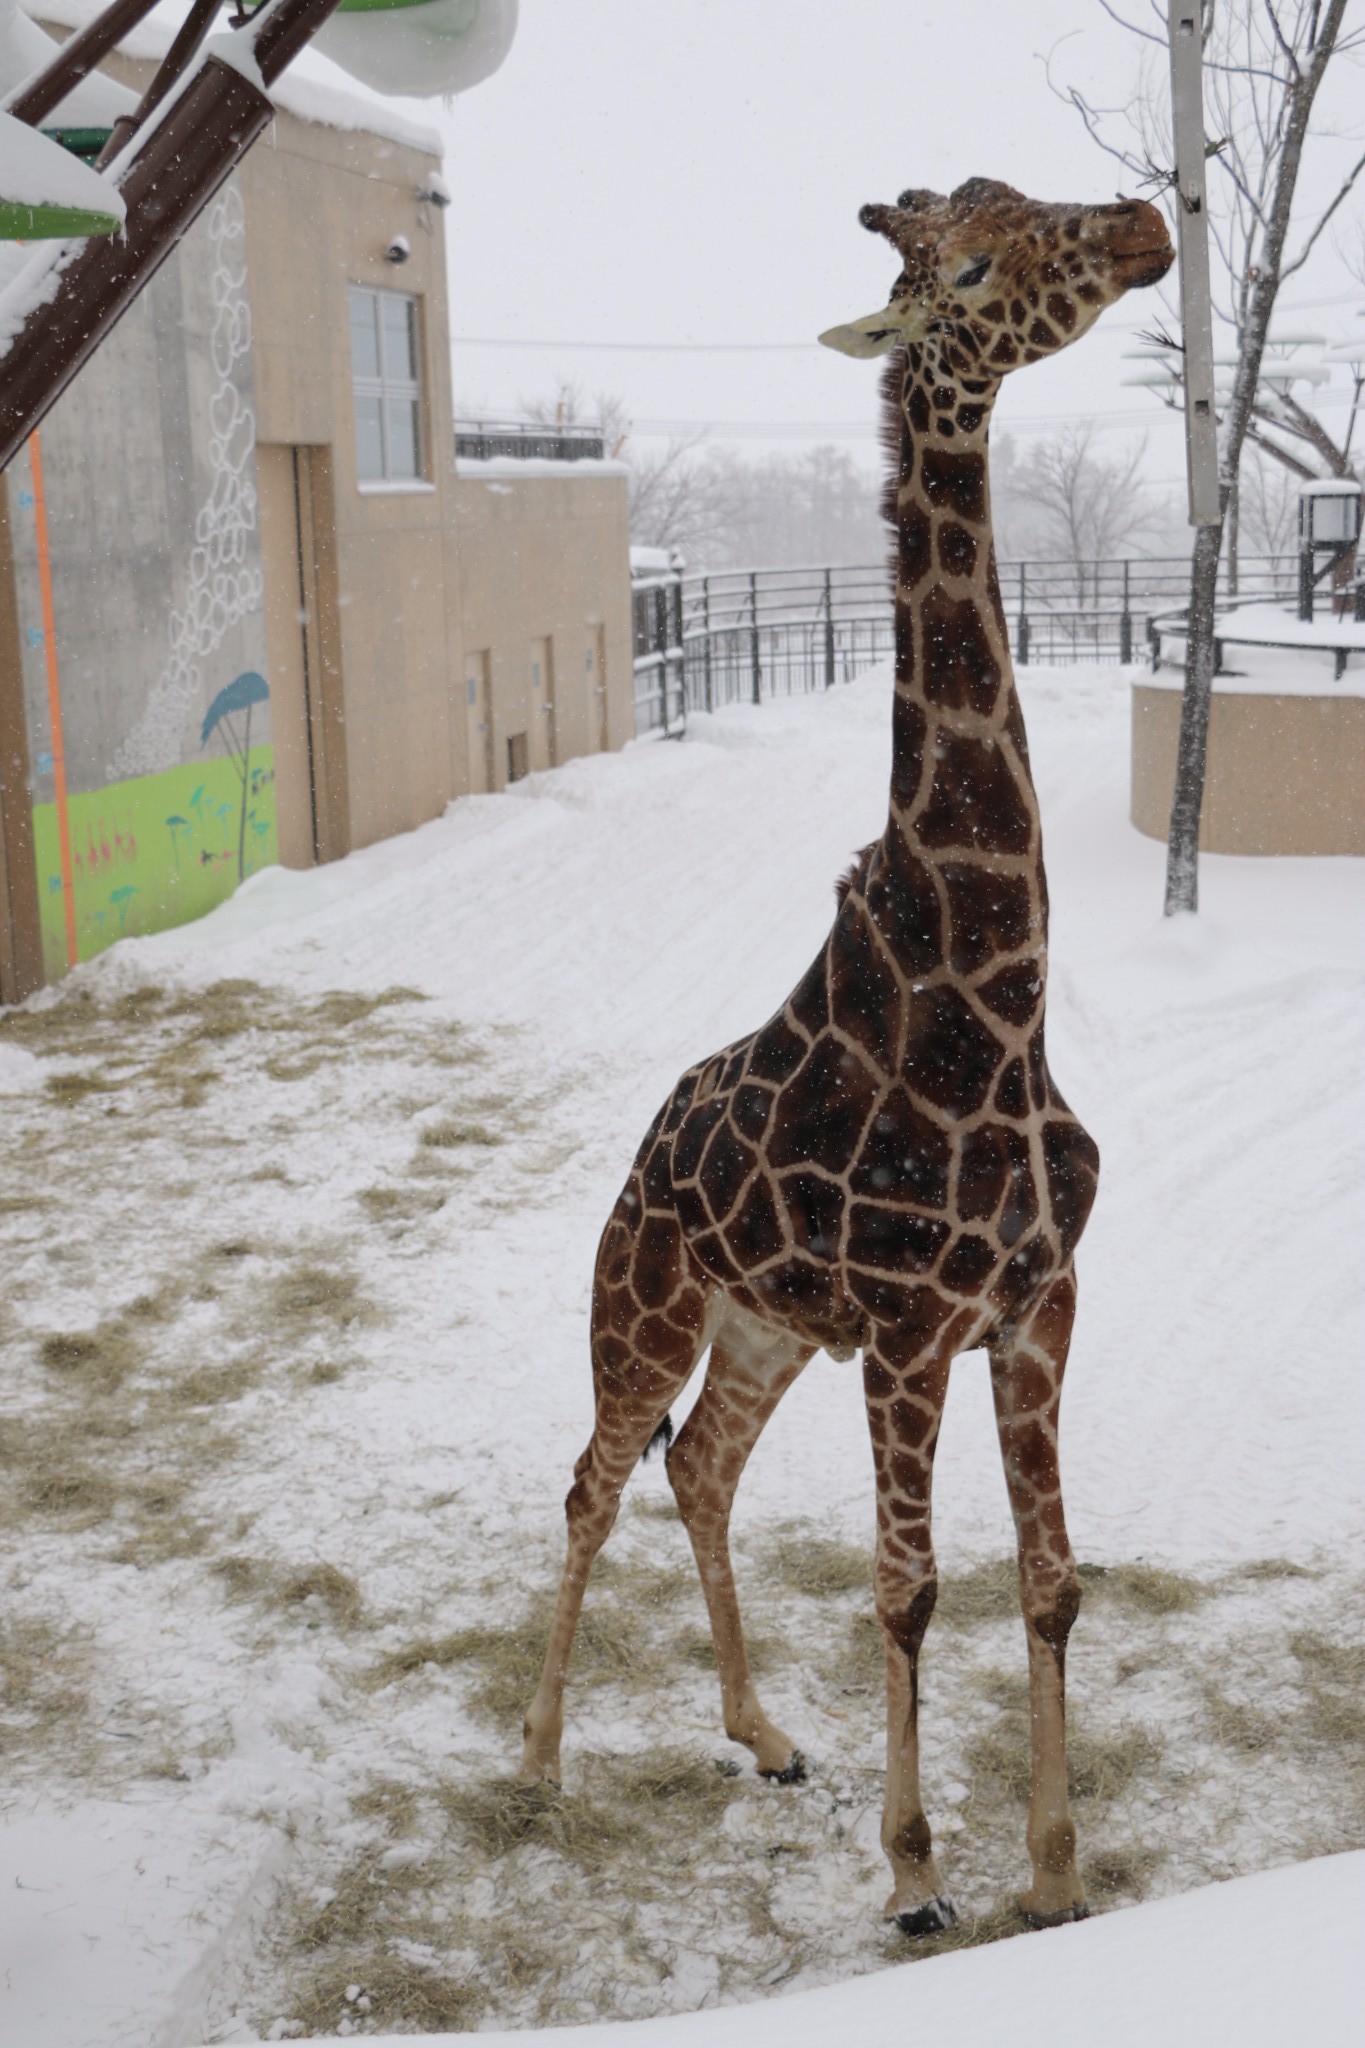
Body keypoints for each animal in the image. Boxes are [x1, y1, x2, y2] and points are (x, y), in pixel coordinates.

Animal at [523, 180, 1178, 1933]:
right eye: (969, 260)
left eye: (1026, 201)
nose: (1143, 223)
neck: (999, 1004)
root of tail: (642, 1149)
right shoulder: (905, 1329)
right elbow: (905, 1589)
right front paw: (914, 1875)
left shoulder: (1037, 1304)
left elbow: (1050, 1582)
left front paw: (1053, 1870)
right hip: (644, 1304)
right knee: (595, 1480)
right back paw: (535, 1761)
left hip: (759, 1331)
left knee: (697, 1472)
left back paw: (760, 1736)